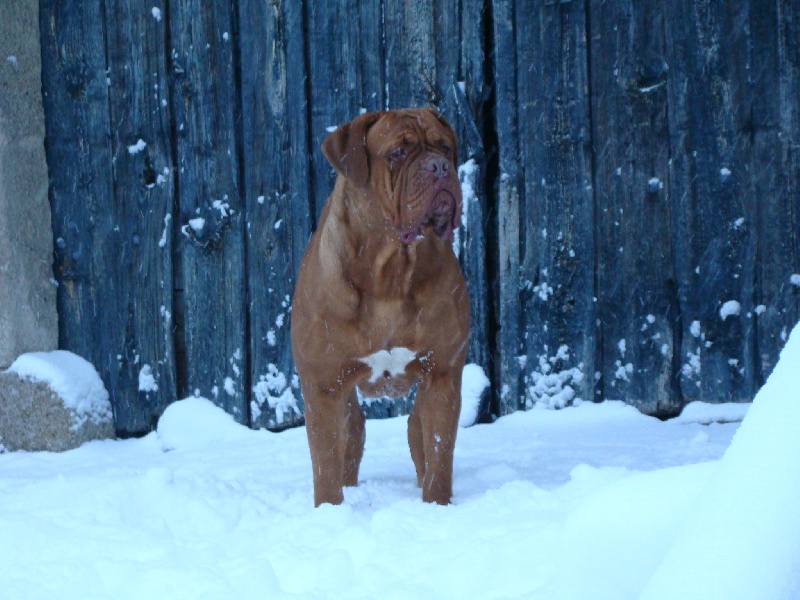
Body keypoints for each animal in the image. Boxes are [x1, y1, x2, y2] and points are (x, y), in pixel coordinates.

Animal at [292, 108, 468, 506]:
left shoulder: (442, 375)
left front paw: (437, 507)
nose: (439, 167)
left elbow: (440, 455)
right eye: (397, 153)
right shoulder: (324, 388)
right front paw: (329, 512)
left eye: (445, 148)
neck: (391, 271)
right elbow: (325, 465)